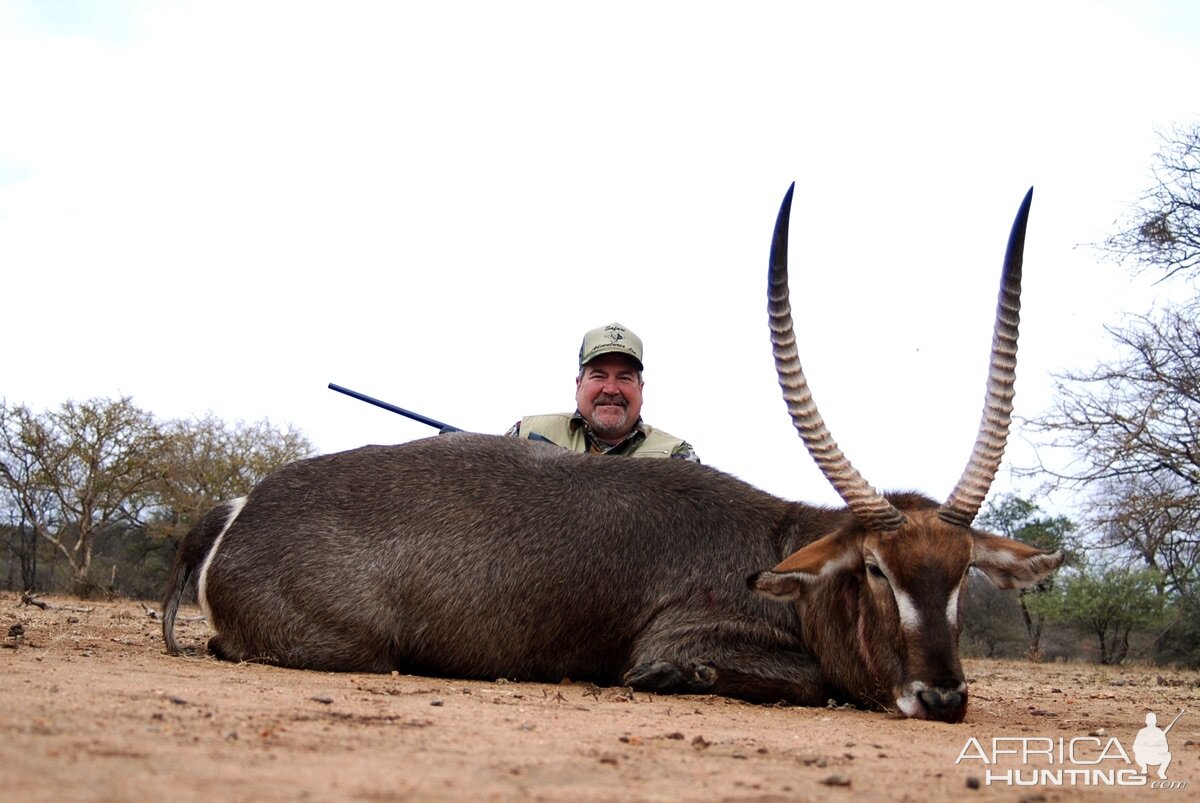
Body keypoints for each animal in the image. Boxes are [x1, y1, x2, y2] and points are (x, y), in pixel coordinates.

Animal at [162, 181, 1060, 720]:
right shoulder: (681, 632)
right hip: (357, 647)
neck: (780, 546)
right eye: (875, 568)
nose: (941, 696)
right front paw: (675, 678)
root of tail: (241, 506)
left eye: (963, 571)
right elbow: (794, 679)